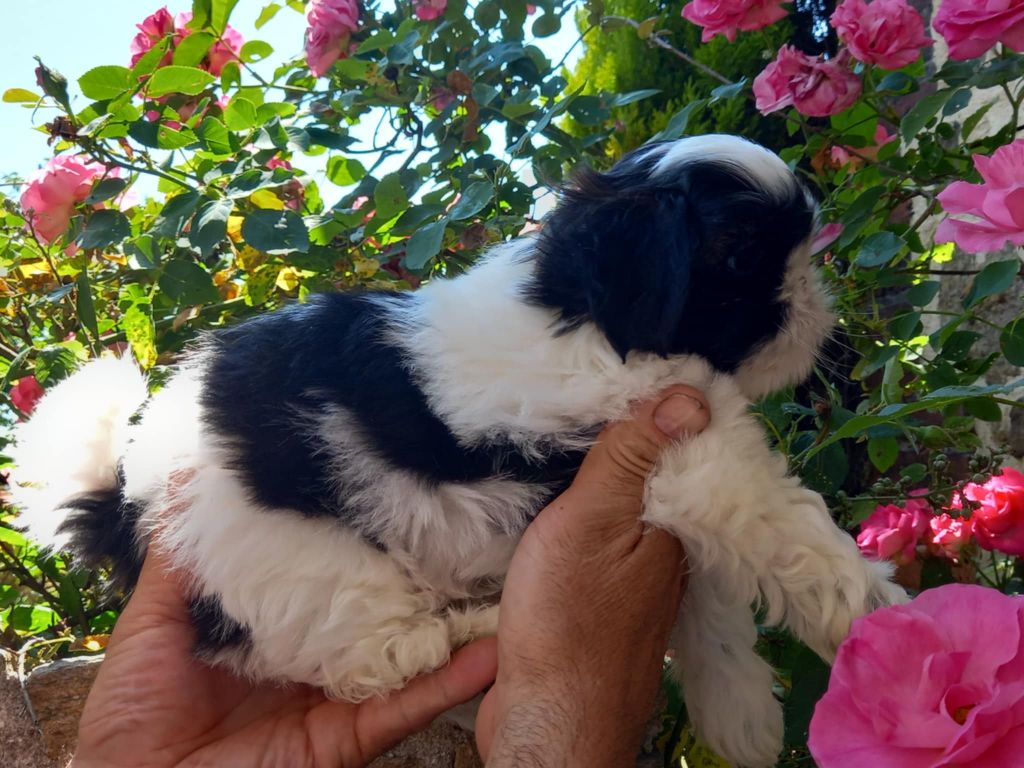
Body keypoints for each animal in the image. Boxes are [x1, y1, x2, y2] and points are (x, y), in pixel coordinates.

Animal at [11, 134, 906, 767]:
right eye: (743, 259)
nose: (821, 314)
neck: (582, 314)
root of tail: (129, 503)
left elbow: (710, 605)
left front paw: (740, 713)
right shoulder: (696, 464)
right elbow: (800, 548)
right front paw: (881, 631)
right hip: (291, 559)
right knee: (376, 655)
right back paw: (479, 628)